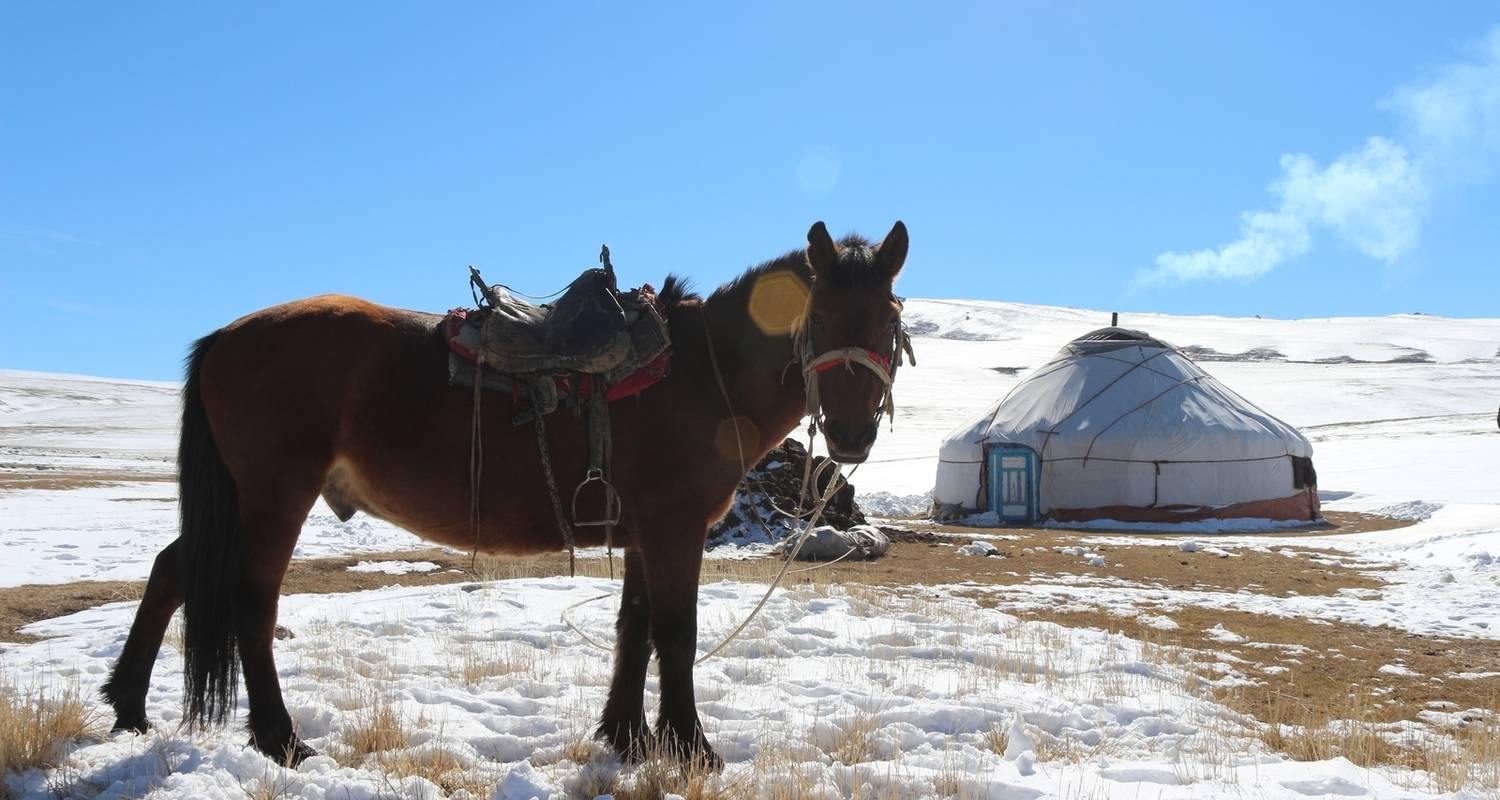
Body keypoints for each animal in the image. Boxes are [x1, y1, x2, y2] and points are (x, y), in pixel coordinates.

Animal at [99, 220, 906, 768]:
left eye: (889, 319)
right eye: (820, 317)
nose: (853, 434)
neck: (702, 379)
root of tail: (224, 338)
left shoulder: (642, 532)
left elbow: (634, 629)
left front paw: (626, 736)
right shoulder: (675, 529)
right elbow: (676, 634)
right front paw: (691, 748)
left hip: (241, 501)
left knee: (174, 569)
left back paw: (128, 706)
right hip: (274, 496)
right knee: (251, 603)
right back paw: (280, 738)